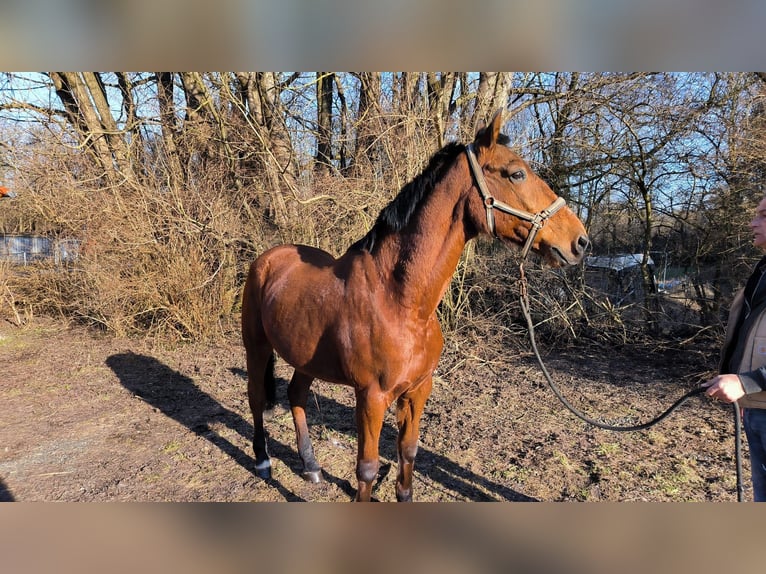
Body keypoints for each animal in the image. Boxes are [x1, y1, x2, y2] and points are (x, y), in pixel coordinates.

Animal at [241, 110, 589, 501]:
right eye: (516, 173)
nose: (579, 241)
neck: (401, 302)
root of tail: (269, 258)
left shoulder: (419, 389)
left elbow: (408, 451)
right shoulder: (371, 397)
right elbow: (367, 468)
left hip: (306, 359)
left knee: (296, 395)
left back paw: (312, 467)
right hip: (256, 347)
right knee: (257, 398)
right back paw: (263, 461)